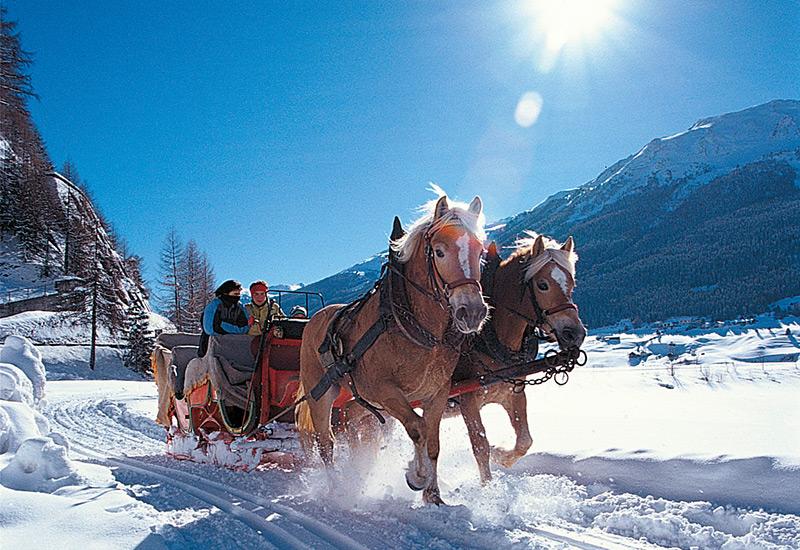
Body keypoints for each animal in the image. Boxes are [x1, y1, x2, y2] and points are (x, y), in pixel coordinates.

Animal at [298, 193, 488, 504]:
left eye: (481, 251)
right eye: (439, 252)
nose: (472, 312)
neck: (410, 324)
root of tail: (314, 319)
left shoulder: (437, 392)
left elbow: (433, 442)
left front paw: (433, 495)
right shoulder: (385, 391)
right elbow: (418, 429)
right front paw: (417, 476)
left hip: (356, 404)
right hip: (321, 394)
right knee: (326, 442)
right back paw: (337, 488)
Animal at [454, 235, 584, 486]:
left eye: (572, 284)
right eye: (542, 285)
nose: (575, 333)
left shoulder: (513, 393)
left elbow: (524, 440)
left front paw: (500, 455)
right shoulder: (467, 400)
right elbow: (480, 445)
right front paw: (488, 487)